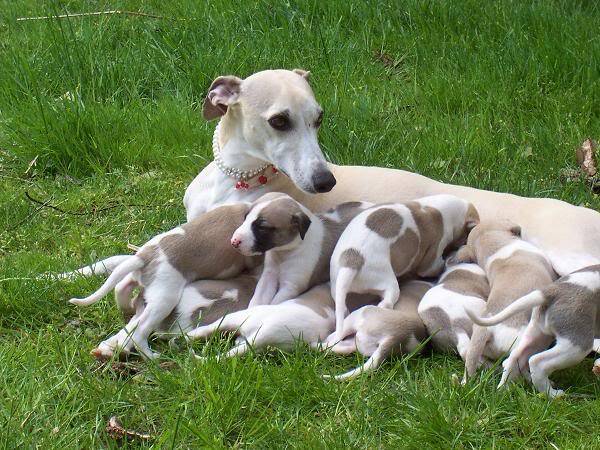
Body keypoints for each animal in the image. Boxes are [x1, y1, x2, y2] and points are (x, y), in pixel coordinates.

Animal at [68, 202, 260, 360]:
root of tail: (144, 257)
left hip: (145, 286)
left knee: (122, 291)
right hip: (164, 298)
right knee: (139, 332)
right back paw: (151, 357)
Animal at [230, 192, 370, 308]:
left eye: (262, 227)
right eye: (245, 217)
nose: (234, 241)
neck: (284, 253)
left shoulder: (291, 287)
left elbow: (273, 305)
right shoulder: (269, 276)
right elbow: (257, 300)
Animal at [328, 194, 478, 342]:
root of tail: (352, 261)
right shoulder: (433, 257)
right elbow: (434, 266)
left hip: (336, 285)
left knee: (342, 308)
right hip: (388, 283)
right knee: (386, 301)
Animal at [466, 264, 600, 398]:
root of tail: (551, 291)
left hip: (537, 335)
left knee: (514, 358)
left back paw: (503, 390)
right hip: (577, 343)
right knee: (538, 362)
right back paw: (553, 395)